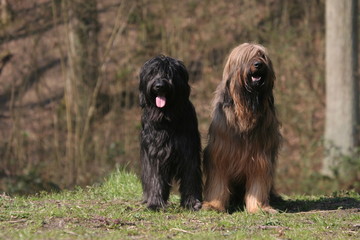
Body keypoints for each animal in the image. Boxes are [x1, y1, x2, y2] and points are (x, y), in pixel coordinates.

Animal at [139, 55, 202, 211]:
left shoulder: (188, 151)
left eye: (170, 73)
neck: (167, 118)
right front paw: (155, 203)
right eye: (152, 72)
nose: (159, 86)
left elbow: (190, 176)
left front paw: (192, 202)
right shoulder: (154, 151)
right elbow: (155, 177)